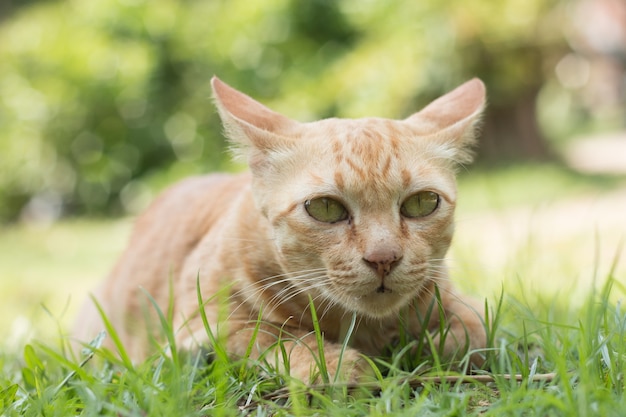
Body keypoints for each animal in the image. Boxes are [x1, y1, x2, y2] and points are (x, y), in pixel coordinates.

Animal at [72, 75, 482, 384]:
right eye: (325, 208)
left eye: (421, 203)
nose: (384, 258)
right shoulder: (199, 331)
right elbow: (276, 337)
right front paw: (339, 365)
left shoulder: (458, 301)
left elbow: (474, 331)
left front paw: (426, 346)